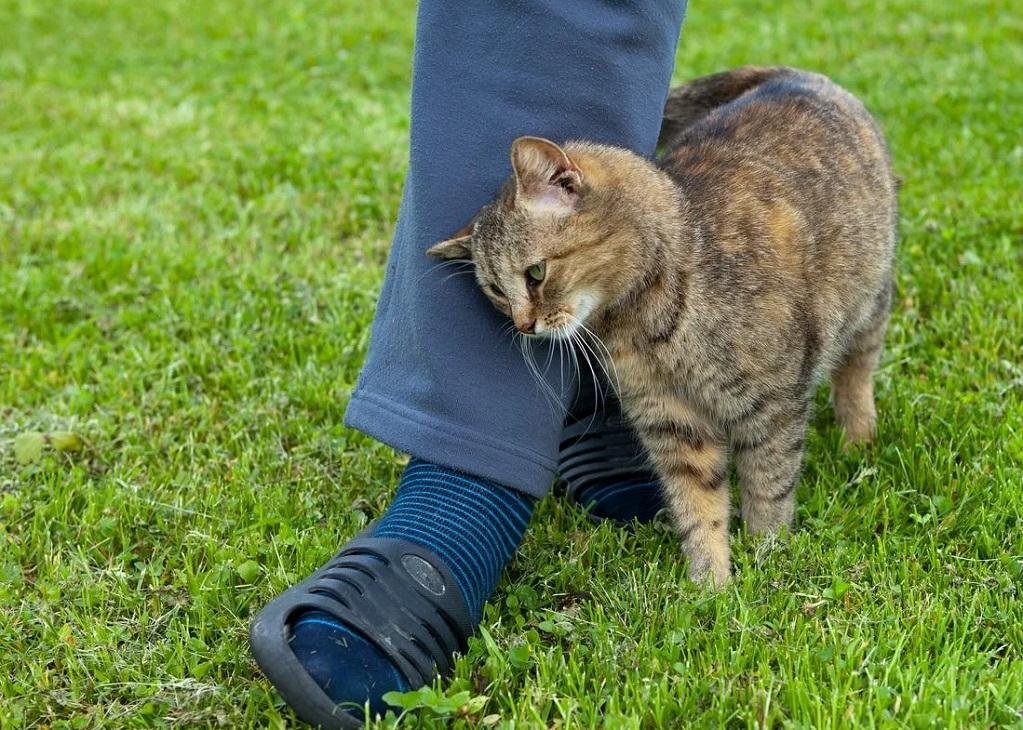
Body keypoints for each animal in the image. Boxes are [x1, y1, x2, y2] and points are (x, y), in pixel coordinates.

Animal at [427, 65, 900, 584]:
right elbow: (698, 505)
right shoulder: (672, 422)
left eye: (535, 274)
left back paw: (859, 438)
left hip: (871, 302)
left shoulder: (772, 408)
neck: (645, 326)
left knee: (857, 371)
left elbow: (769, 489)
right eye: (495, 290)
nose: (523, 325)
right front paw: (711, 583)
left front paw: (767, 556)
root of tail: (796, 74)